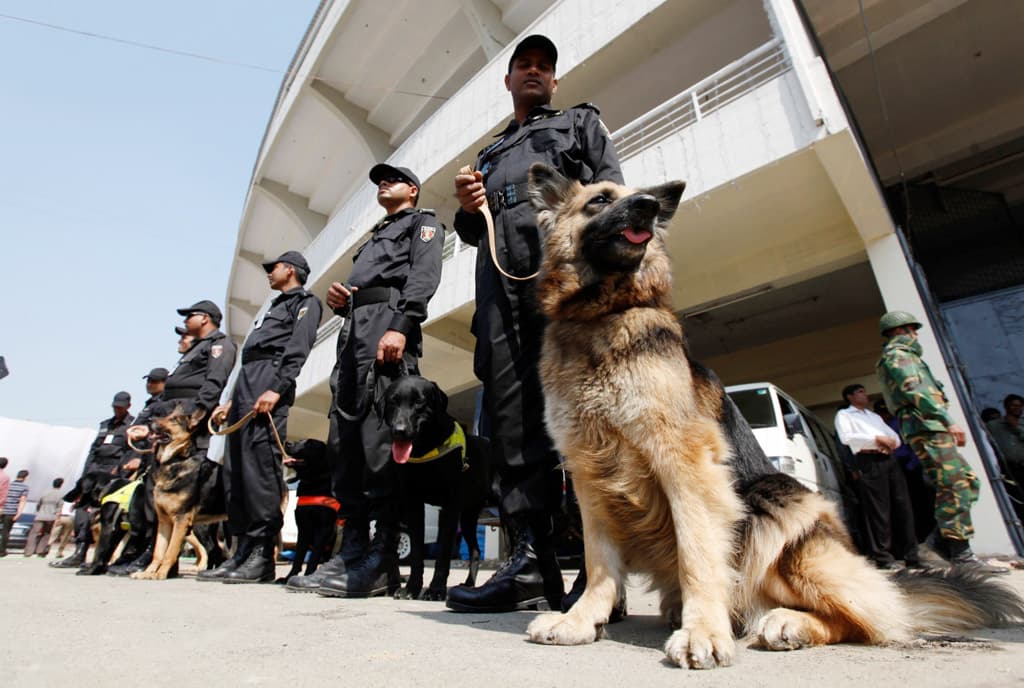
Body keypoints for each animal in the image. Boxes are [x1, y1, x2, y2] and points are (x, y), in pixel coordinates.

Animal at [131, 403, 227, 581]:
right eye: (166, 415)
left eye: (173, 420)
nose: (149, 420)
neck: (176, 460)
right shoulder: (164, 521)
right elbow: (158, 552)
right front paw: (149, 572)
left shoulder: (181, 520)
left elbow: (170, 552)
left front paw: (160, 574)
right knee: (215, 550)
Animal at [382, 372, 497, 597]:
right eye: (393, 401)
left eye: (419, 401)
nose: (399, 431)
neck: (426, 449)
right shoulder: (413, 503)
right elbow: (417, 552)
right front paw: (412, 588)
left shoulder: (450, 505)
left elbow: (443, 552)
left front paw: (436, 589)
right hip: (468, 517)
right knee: (475, 550)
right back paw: (469, 583)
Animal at [524, 163, 1019, 667]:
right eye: (600, 200)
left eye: (644, 199)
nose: (648, 205)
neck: (599, 315)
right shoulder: (589, 472)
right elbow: (598, 559)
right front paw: (581, 620)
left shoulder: (683, 459)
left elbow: (697, 552)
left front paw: (703, 630)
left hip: (775, 509)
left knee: (868, 618)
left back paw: (787, 622)